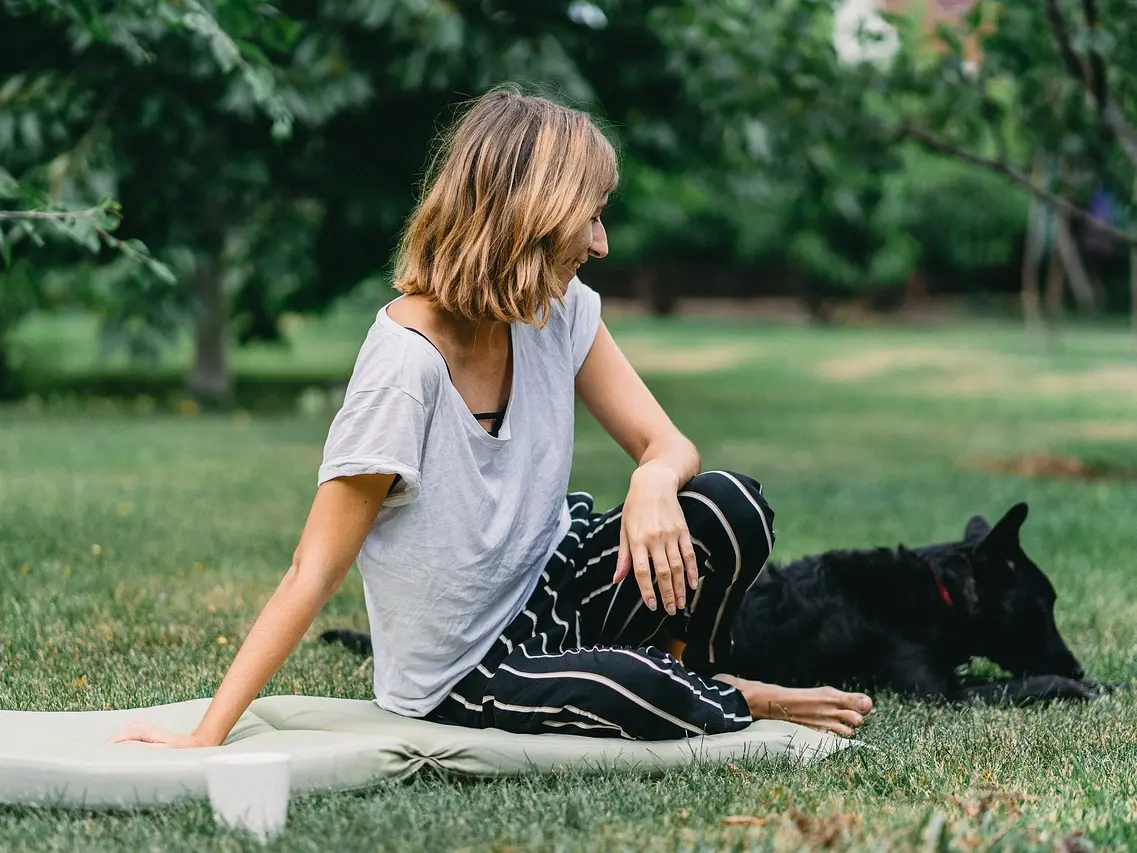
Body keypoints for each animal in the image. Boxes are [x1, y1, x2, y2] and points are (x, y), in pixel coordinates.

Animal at [727, 504, 1109, 705]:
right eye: (1043, 608)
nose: (1078, 669)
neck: (942, 593)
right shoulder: (941, 694)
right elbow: (1036, 681)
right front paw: (1080, 687)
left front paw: (1104, 684)